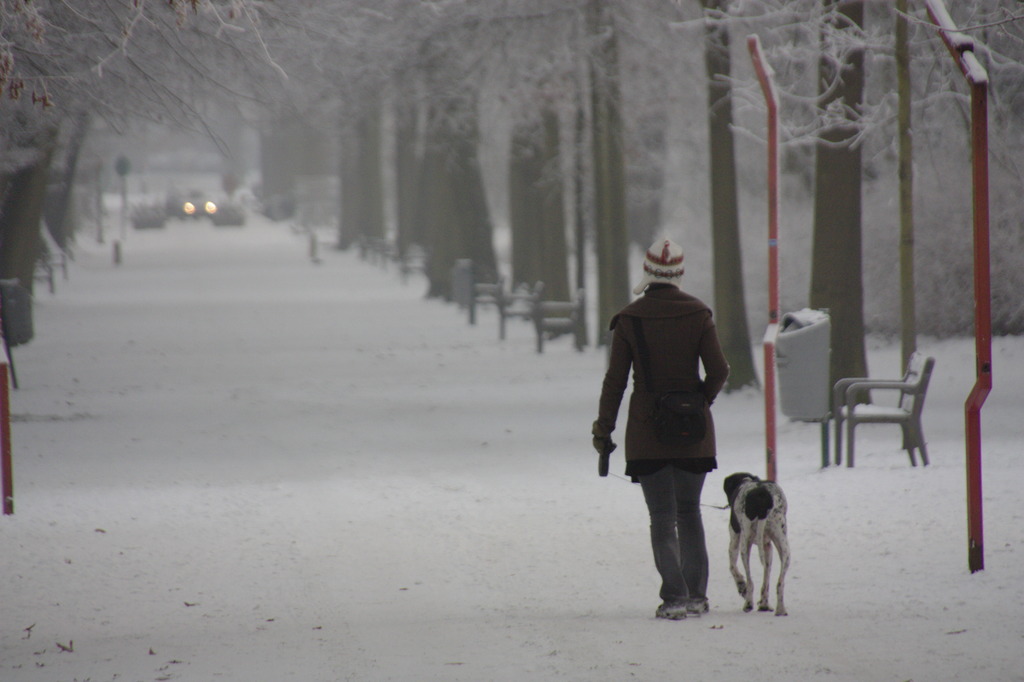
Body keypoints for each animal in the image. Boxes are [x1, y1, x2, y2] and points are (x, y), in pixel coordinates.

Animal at [720, 471, 790, 614]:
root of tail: (765, 497)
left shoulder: (734, 539)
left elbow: (732, 567)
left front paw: (741, 585)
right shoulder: (767, 547)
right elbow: (766, 580)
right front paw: (764, 603)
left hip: (744, 545)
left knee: (750, 581)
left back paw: (748, 603)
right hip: (784, 548)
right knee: (780, 583)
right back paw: (779, 609)